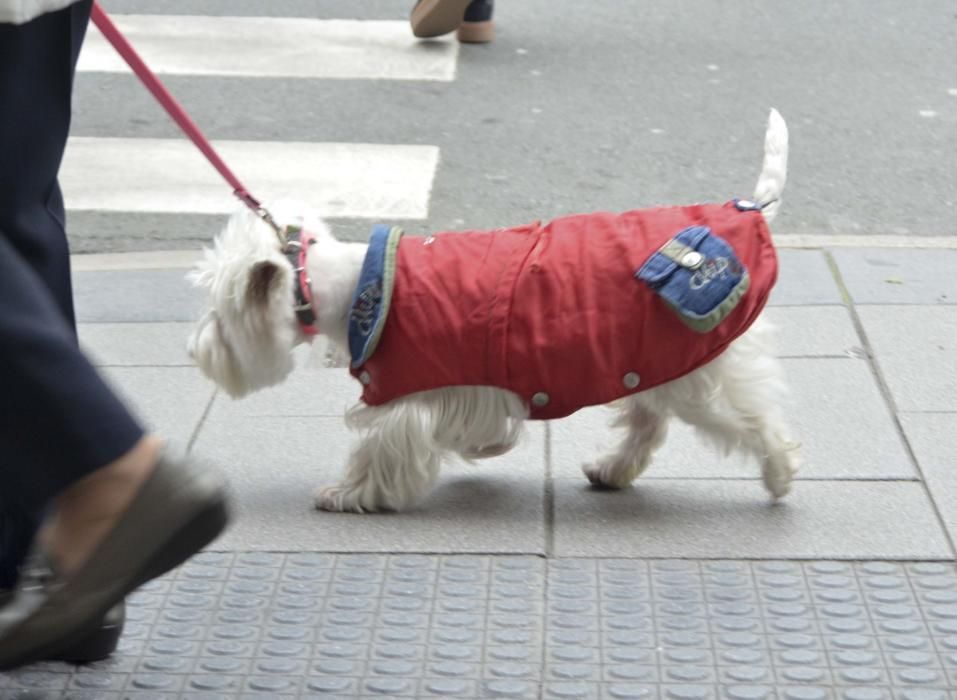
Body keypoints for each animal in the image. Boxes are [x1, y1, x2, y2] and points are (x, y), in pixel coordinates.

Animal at [189, 110, 800, 516]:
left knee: (749, 419)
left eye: (217, 316)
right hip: (650, 358)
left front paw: (347, 494)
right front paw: (483, 449)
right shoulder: (471, 386)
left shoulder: (412, 391)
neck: (355, 286)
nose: (193, 351)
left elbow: (380, 449)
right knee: (647, 422)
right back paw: (611, 469)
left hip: (703, 366)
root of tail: (749, 210)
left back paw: (779, 475)